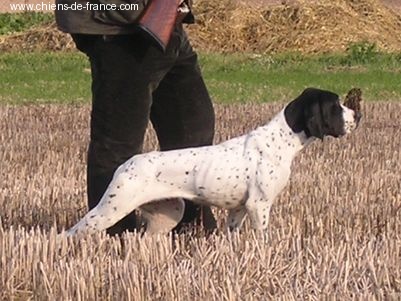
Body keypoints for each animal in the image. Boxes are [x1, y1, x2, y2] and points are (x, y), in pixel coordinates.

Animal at [64, 87, 360, 237]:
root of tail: (127, 163)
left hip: (168, 213)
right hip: (110, 209)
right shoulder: (259, 205)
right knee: (69, 233)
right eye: (336, 106)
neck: (281, 139)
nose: (358, 115)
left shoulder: (239, 210)